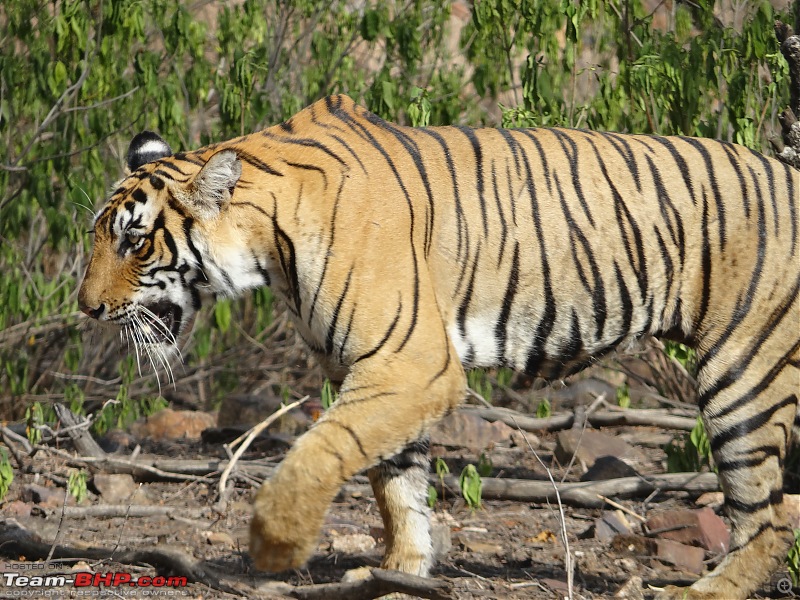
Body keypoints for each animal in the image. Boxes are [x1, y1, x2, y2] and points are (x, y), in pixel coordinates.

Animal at [76, 95, 800, 600]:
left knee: (770, 518)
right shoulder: (374, 369)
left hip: (744, 374)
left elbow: (320, 452)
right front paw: (401, 571)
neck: (270, 245)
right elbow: (395, 483)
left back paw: (704, 590)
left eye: (135, 241)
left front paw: (275, 547)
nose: (87, 308)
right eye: (98, 236)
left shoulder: (411, 365)